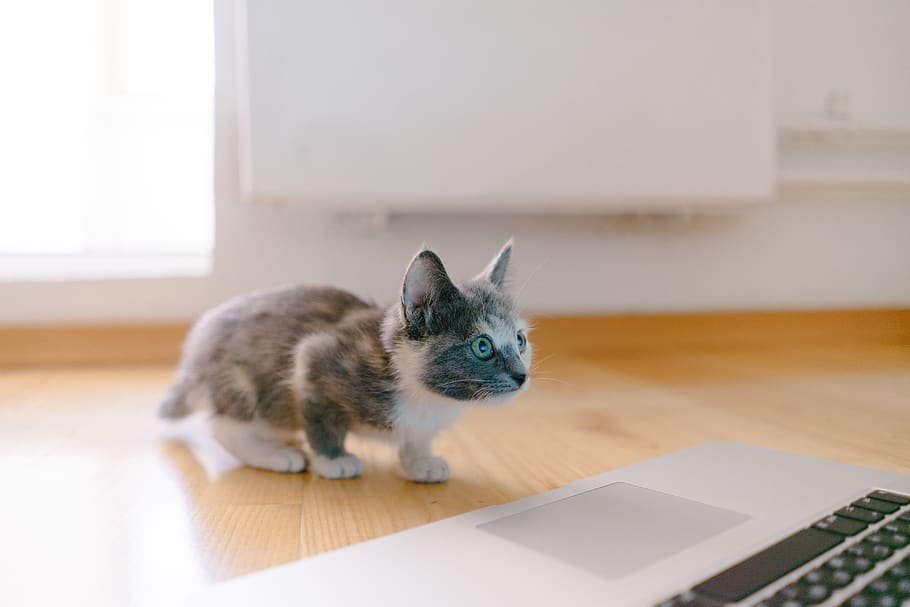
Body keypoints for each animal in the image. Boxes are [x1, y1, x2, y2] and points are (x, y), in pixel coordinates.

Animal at [162, 240, 536, 482]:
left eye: (520, 340)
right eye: (483, 346)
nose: (522, 375)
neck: (424, 396)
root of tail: (195, 352)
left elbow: (416, 437)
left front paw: (420, 462)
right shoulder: (315, 359)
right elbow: (321, 417)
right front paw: (333, 460)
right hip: (243, 381)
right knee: (223, 425)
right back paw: (275, 454)